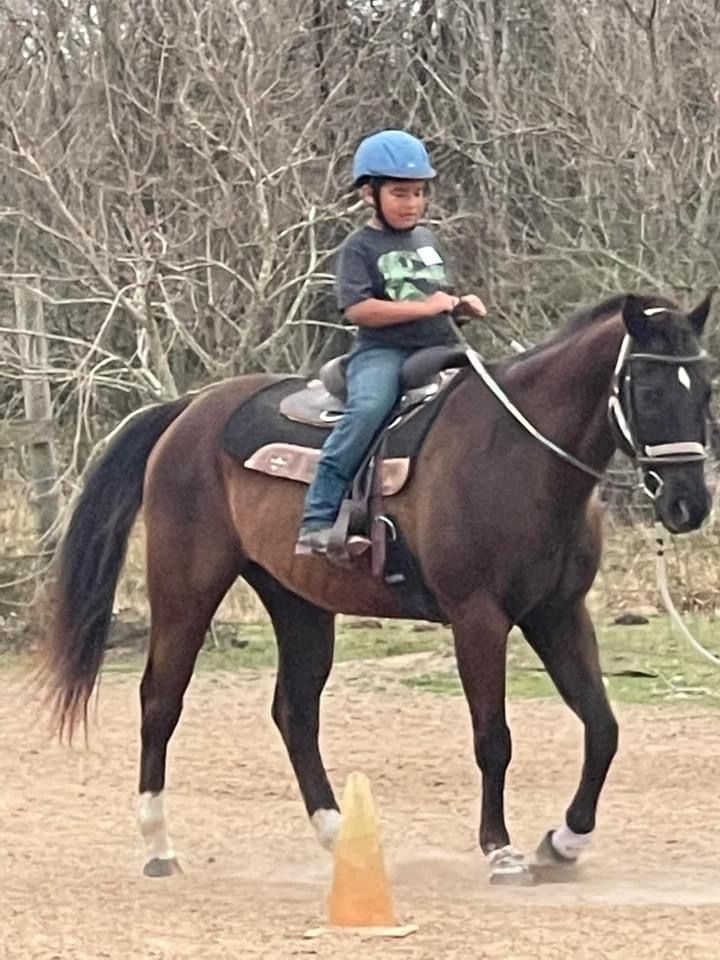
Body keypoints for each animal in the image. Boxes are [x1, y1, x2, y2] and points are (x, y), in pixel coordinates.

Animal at [41, 290, 714, 883]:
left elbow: (603, 727)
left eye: (706, 388)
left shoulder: (558, 613)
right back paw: (159, 847)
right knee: (161, 700)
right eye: (648, 390)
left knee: (294, 712)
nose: (689, 503)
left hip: (297, 601)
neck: (519, 456)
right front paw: (501, 851)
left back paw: (341, 837)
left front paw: (564, 843)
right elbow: (493, 738)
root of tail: (189, 409)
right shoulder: (478, 617)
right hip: (186, 584)